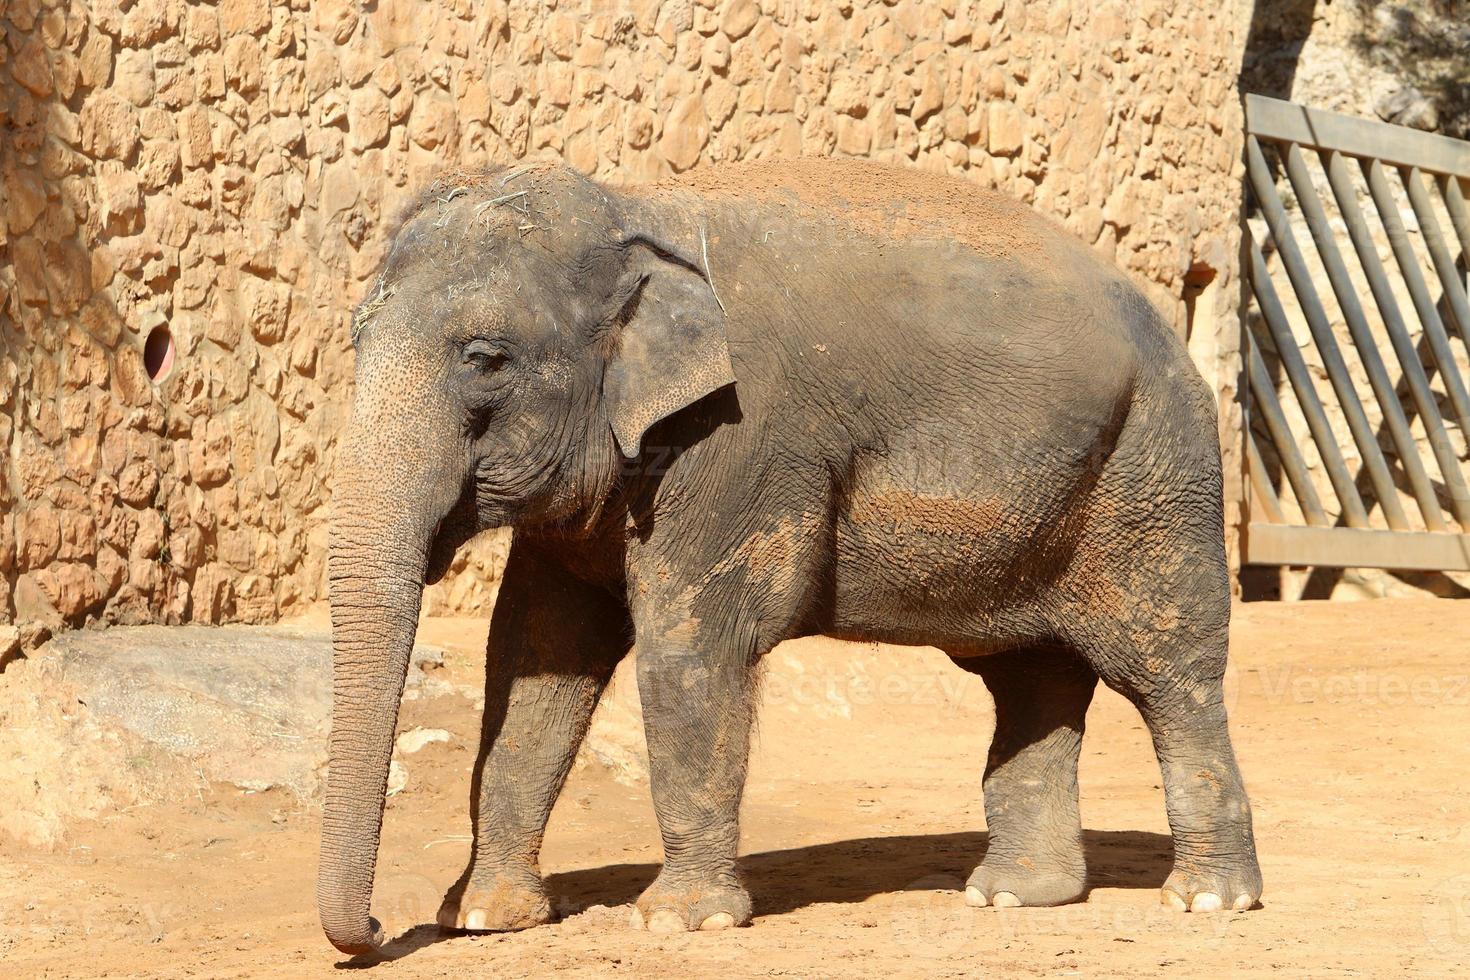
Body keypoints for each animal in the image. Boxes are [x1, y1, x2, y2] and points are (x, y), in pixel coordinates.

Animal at [321, 159, 1264, 952]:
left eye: (485, 360)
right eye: (355, 341)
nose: (381, 929)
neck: (637, 204)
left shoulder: (740, 441)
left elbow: (692, 648)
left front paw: (680, 922)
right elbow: (532, 656)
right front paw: (483, 918)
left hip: (1155, 475)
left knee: (1167, 672)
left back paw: (1208, 900)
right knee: (1032, 677)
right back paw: (1014, 895)